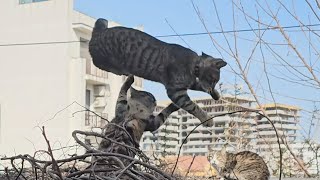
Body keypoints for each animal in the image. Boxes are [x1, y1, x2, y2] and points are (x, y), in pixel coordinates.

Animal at [89, 17, 226, 126]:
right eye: (213, 79)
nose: (212, 87)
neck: (194, 66)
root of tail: (98, 34)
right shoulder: (176, 92)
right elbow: (194, 107)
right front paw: (207, 119)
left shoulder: (190, 83)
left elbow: (199, 86)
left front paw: (216, 94)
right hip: (103, 59)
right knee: (96, 61)